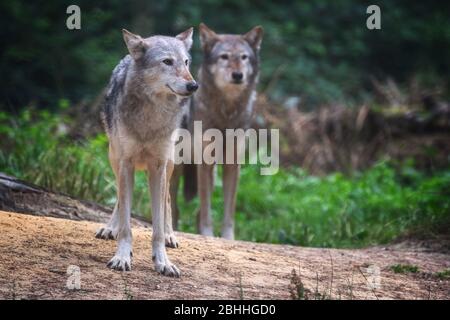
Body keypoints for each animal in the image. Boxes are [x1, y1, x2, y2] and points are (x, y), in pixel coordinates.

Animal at [96, 28, 197, 278]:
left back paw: (171, 235)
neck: (151, 115)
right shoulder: (126, 163)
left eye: (186, 62)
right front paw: (122, 257)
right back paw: (109, 228)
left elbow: (157, 226)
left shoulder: (159, 167)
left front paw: (163, 262)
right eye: (167, 62)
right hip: (114, 158)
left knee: (168, 198)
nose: (194, 85)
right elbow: (126, 223)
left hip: (170, 163)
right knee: (120, 199)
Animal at [171, 23, 264, 240]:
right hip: (176, 167)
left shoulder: (232, 164)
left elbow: (228, 210)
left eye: (244, 57)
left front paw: (227, 238)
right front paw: (208, 234)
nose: (237, 75)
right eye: (224, 57)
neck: (226, 114)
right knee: (173, 205)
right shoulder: (204, 164)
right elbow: (206, 209)